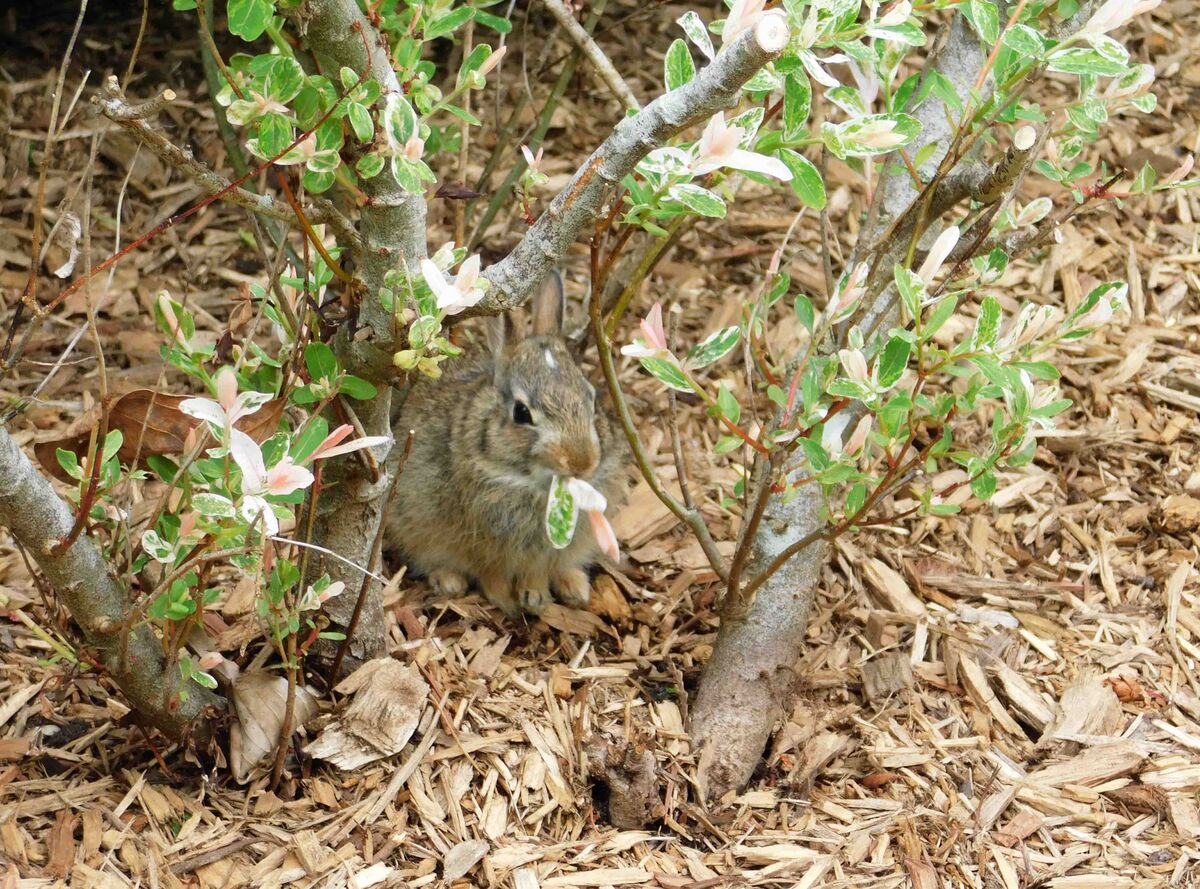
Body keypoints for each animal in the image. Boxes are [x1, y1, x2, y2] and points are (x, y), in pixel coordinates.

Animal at [385, 273, 626, 618]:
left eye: (592, 399)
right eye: (521, 413)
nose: (582, 462)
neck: (533, 484)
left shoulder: (545, 550)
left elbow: (538, 571)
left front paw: (535, 596)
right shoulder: (484, 542)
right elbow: (492, 573)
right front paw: (507, 601)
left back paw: (575, 587)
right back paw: (449, 581)